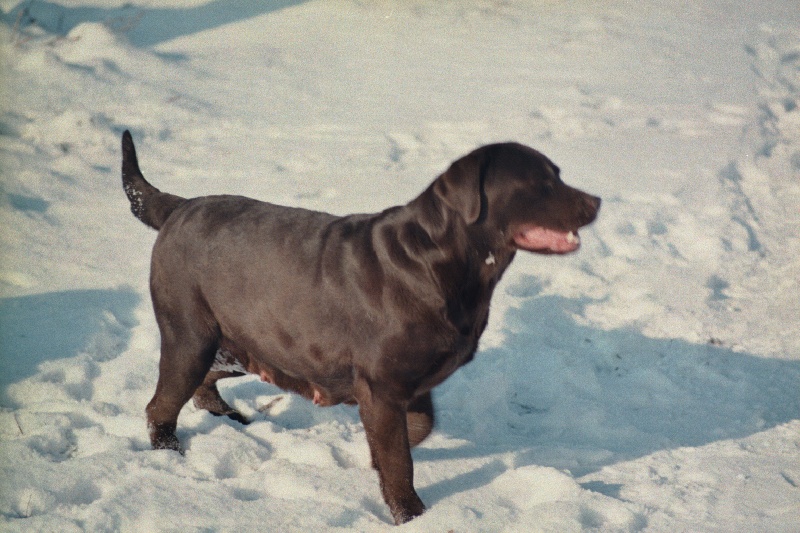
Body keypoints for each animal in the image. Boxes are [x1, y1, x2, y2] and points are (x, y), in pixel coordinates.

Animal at [121, 131, 600, 524]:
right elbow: (399, 459)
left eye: (558, 175)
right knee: (161, 404)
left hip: (241, 343)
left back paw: (225, 414)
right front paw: (411, 515)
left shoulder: (409, 382)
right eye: (541, 184)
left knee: (203, 381)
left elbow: (418, 429)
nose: (596, 201)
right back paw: (169, 454)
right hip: (191, 335)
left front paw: (375, 461)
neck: (442, 261)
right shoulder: (383, 384)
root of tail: (180, 206)